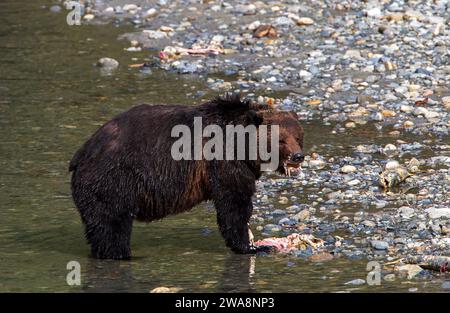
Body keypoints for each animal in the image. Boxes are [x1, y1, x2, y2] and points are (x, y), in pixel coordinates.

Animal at [68, 94, 304, 260]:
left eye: (298, 136)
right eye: (281, 139)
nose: (298, 156)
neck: (244, 146)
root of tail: (81, 154)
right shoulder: (223, 161)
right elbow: (234, 204)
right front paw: (253, 246)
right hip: (114, 180)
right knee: (113, 224)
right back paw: (121, 254)